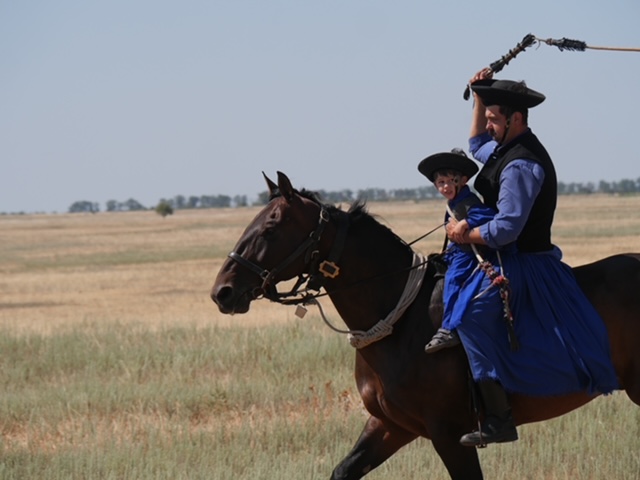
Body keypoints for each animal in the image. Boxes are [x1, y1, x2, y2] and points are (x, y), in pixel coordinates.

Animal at [211, 172, 640, 480]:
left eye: (270, 227)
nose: (223, 292)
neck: (401, 324)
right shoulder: (390, 426)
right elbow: (343, 470)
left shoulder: (450, 436)